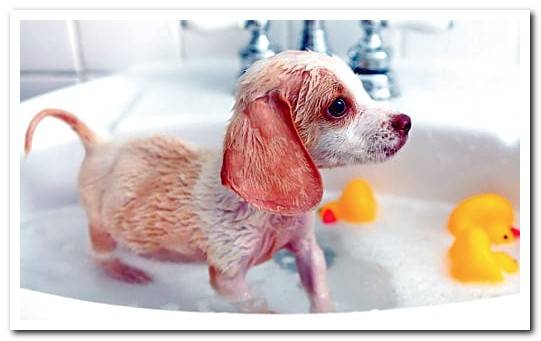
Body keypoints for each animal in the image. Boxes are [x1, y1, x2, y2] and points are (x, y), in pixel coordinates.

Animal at [24, 49, 410, 312]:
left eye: (363, 90)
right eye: (338, 106)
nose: (405, 122)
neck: (267, 215)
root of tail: (99, 144)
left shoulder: (306, 248)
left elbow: (319, 288)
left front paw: (325, 313)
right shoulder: (228, 277)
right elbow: (255, 305)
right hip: (99, 223)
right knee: (98, 254)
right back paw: (124, 271)